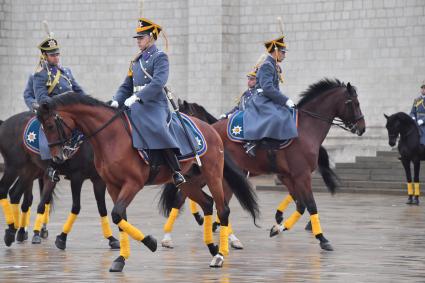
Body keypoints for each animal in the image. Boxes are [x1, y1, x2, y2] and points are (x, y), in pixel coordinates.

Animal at [0, 112, 119, 250]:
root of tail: (5, 123)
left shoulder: (98, 180)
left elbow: (102, 208)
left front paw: (111, 238)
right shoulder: (76, 177)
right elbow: (75, 207)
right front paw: (62, 238)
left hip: (29, 170)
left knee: (15, 194)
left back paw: (14, 231)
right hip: (14, 167)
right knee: (5, 190)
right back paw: (13, 231)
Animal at [34, 93, 258, 272]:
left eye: (51, 126)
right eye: (43, 129)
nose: (56, 159)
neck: (111, 137)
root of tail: (210, 129)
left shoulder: (133, 184)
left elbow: (116, 214)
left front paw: (150, 242)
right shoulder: (113, 186)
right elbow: (120, 218)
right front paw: (121, 259)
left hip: (212, 174)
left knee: (223, 209)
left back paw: (220, 255)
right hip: (187, 181)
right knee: (207, 203)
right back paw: (212, 248)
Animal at [176, 79, 364, 252]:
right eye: (355, 103)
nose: (362, 128)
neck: (305, 129)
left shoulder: (288, 176)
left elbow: (301, 204)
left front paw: (278, 227)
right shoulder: (301, 175)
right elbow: (310, 204)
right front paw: (322, 238)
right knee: (197, 196)